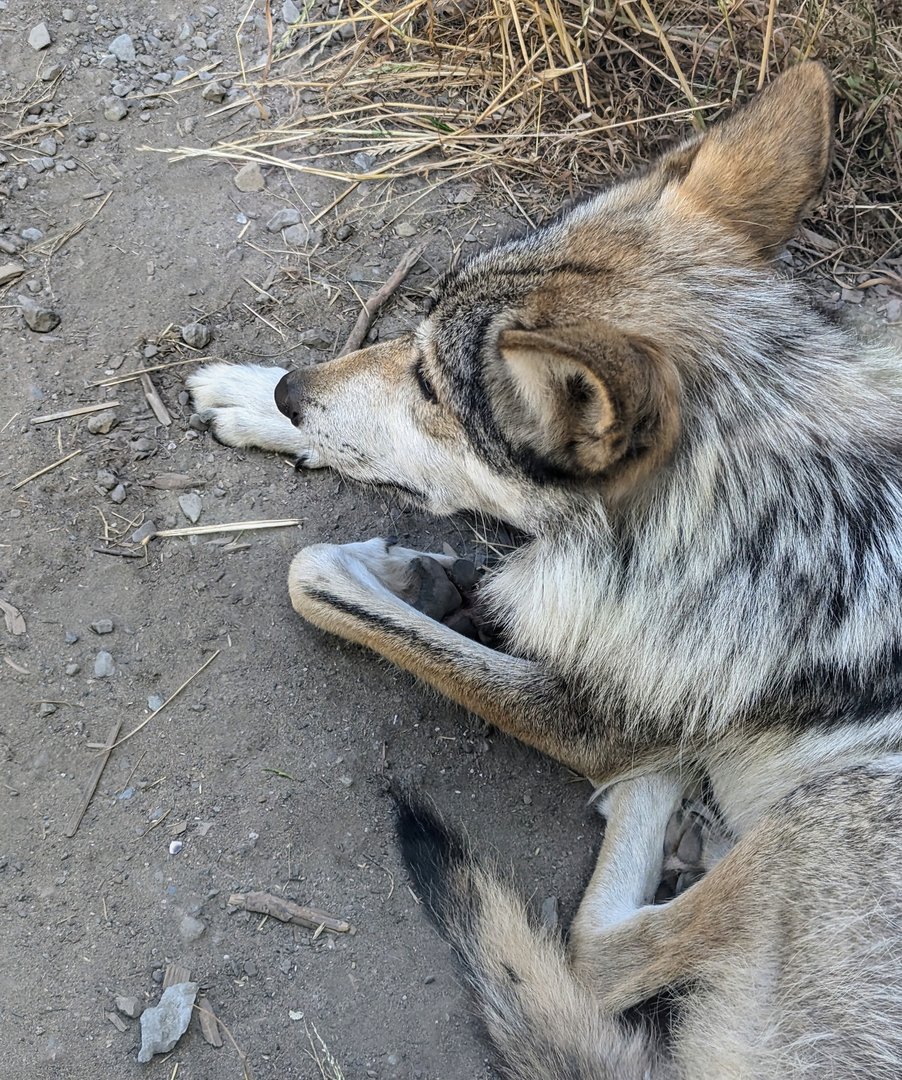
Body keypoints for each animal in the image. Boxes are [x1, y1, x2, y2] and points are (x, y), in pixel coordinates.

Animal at [189, 63, 902, 1077]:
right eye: (413, 340)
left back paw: (664, 789)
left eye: (431, 385)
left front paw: (397, 568)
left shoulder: (589, 720)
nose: (291, 390)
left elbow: (314, 574)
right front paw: (256, 394)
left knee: (600, 956)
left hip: (845, 803)